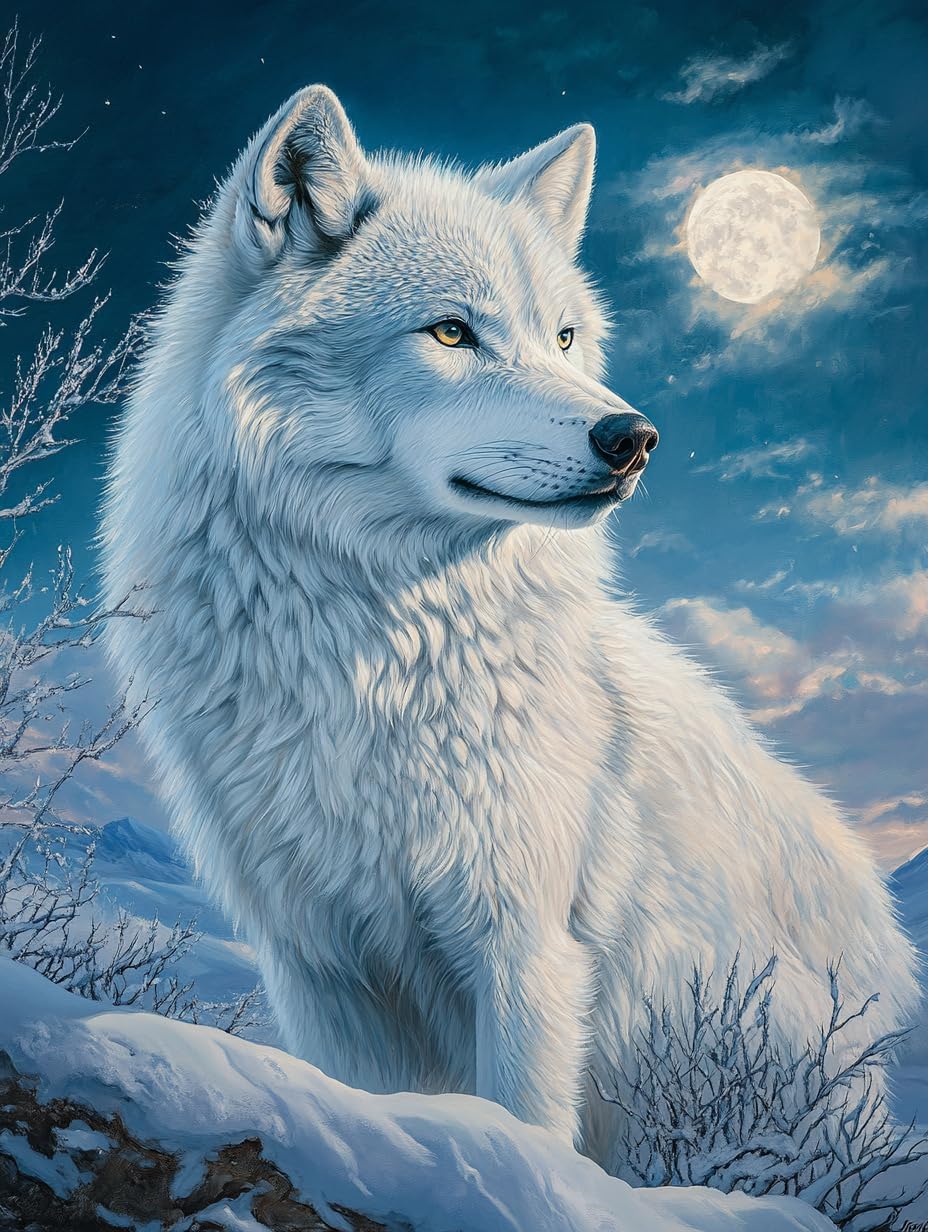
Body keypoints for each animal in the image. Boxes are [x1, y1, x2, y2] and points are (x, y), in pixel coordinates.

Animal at [101, 86, 918, 1166]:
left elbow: (525, 1121)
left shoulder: (525, 949)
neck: (376, 651)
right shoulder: (318, 964)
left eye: (563, 337)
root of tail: (888, 944)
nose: (633, 438)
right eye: (451, 334)